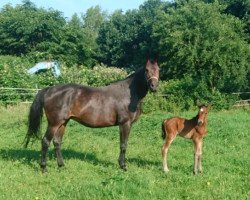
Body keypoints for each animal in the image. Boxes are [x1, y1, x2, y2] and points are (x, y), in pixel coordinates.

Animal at [24, 59, 159, 172]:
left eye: (159, 69)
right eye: (147, 70)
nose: (154, 86)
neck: (128, 94)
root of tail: (48, 90)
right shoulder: (125, 124)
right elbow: (123, 145)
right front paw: (123, 166)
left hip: (63, 122)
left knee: (57, 142)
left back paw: (62, 165)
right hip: (54, 123)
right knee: (45, 141)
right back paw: (44, 168)